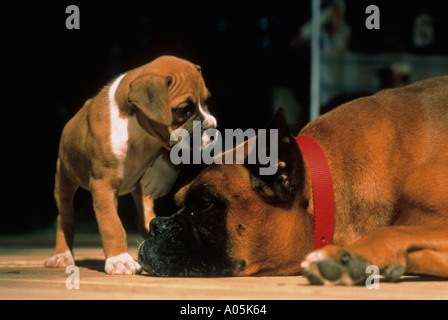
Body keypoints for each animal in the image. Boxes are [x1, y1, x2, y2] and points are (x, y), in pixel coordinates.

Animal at [44, 55, 216, 276]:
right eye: (184, 110)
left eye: (206, 101)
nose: (213, 128)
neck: (139, 133)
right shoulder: (103, 185)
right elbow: (112, 225)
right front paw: (119, 259)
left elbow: (173, 151)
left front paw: (160, 177)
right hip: (64, 180)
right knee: (65, 218)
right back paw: (62, 255)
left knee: (144, 216)